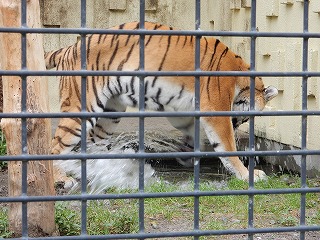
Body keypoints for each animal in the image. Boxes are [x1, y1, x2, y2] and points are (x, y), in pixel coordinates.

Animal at [45, 21, 278, 182]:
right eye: (245, 119)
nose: (238, 124)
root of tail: (67, 48)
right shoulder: (215, 108)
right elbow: (227, 145)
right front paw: (247, 174)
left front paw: (186, 155)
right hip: (80, 108)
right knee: (54, 147)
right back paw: (61, 180)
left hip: (109, 116)